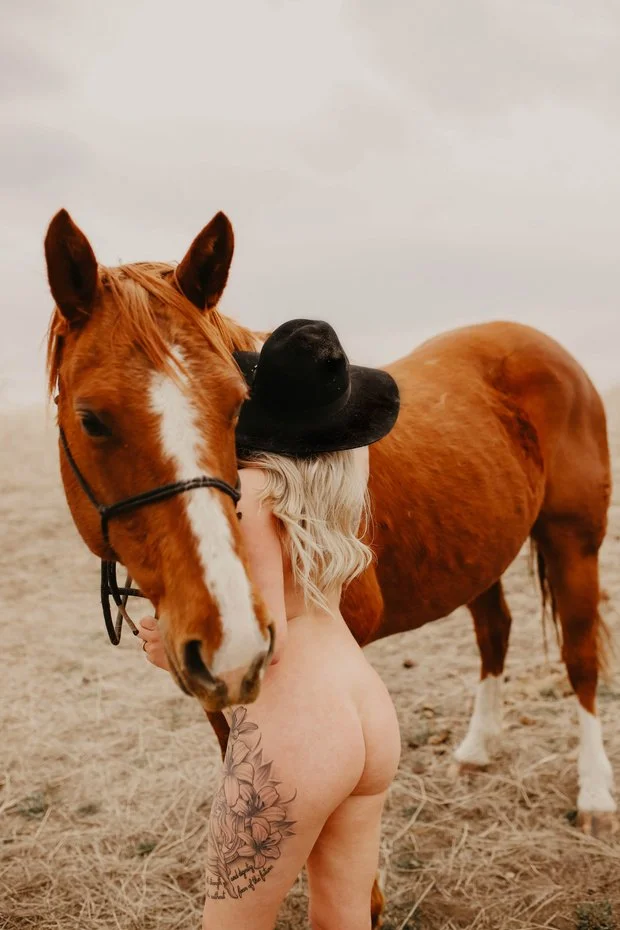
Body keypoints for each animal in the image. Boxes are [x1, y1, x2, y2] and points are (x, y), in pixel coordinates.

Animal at [44, 211, 615, 870]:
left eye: (236, 404)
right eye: (91, 419)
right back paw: (476, 751)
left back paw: (595, 794)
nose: (231, 634)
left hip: (574, 544)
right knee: (495, 631)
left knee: (580, 659)